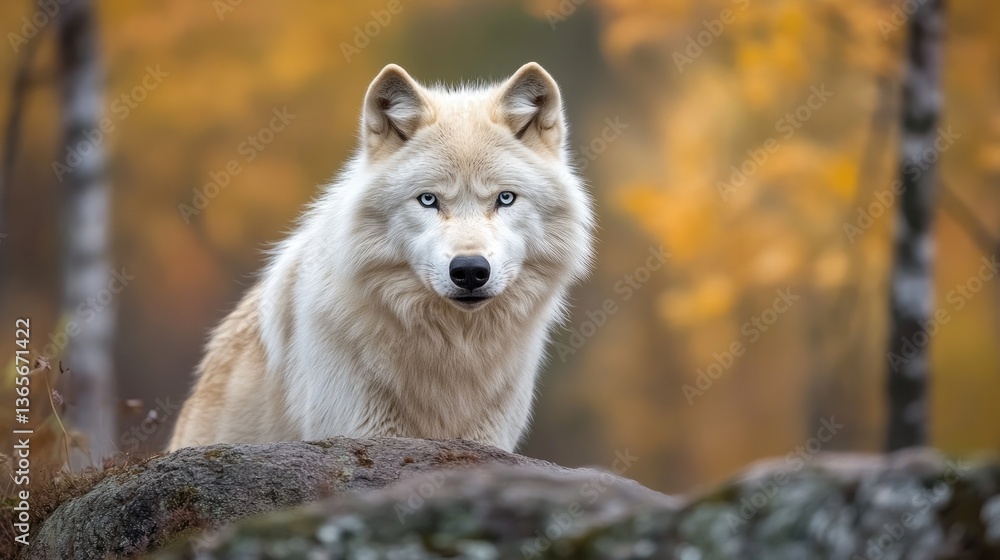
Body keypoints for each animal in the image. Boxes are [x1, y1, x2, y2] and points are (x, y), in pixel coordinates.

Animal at [168, 62, 594, 452]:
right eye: (428, 199)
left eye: (505, 198)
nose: (471, 271)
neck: (452, 350)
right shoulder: (364, 434)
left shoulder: (486, 443)